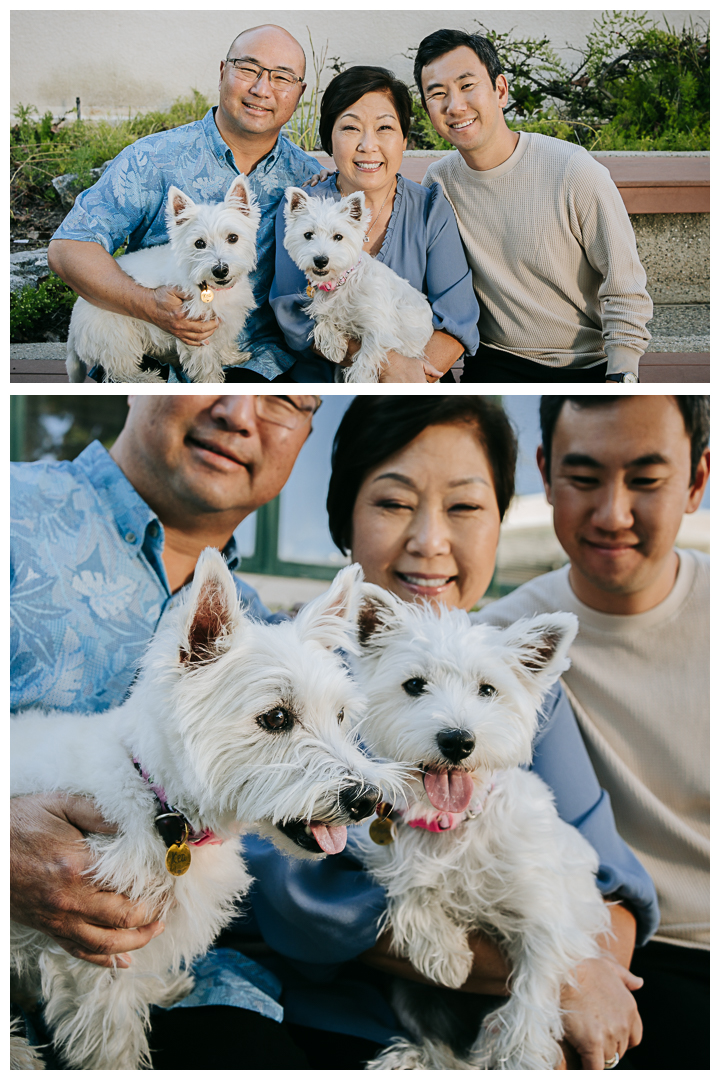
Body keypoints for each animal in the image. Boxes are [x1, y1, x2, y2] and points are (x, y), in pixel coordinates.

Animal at [9, 557, 399, 1071]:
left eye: (338, 716)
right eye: (276, 718)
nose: (365, 799)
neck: (161, 803)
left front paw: (161, 988)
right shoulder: (94, 952)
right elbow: (113, 1038)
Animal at [66, 173, 260, 384]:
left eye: (233, 238)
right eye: (199, 243)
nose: (220, 270)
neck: (214, 289)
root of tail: (72, 326)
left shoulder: (228, 319)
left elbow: (225, 342)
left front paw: (232, 357)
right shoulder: (196, 332)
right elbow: (207, 364)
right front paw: (212, 382)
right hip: (118, 337)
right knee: (122, 373)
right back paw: (150, 378)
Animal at [280, 187, 431, 382]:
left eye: (338, 236)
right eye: (308, 235)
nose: (321, 260)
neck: (342, 281)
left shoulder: (379, 327)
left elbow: (365, 359)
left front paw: (360, 379)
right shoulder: (323, 306)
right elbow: (323, 319)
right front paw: (334, 348)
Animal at [351, 591, 613, 1071]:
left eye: (488, 690)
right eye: (414, 685)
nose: (457, 740)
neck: (451, 823)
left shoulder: (546, 911)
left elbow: (533, 988)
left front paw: (524, 1055)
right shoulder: (397, 856)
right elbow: (410, 890)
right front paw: (447, 955)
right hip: (410, 999)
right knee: (441, 1048)